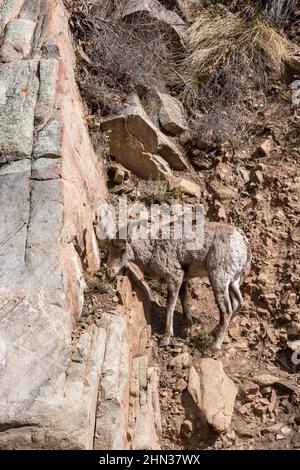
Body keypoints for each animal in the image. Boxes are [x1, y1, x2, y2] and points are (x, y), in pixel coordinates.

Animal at [96, 217, 251, 348]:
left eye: (123, 249)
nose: (110, 271)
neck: (153, 249)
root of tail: (242, 241)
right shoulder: (183, 279)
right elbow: (183, 299)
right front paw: (187, 328)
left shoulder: (174, 277)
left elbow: (170, 305)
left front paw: (166, 339)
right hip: (233, 282)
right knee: (239, 303)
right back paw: (213, 332)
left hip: (218, 279)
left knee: (226, 310)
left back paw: (213, 347)